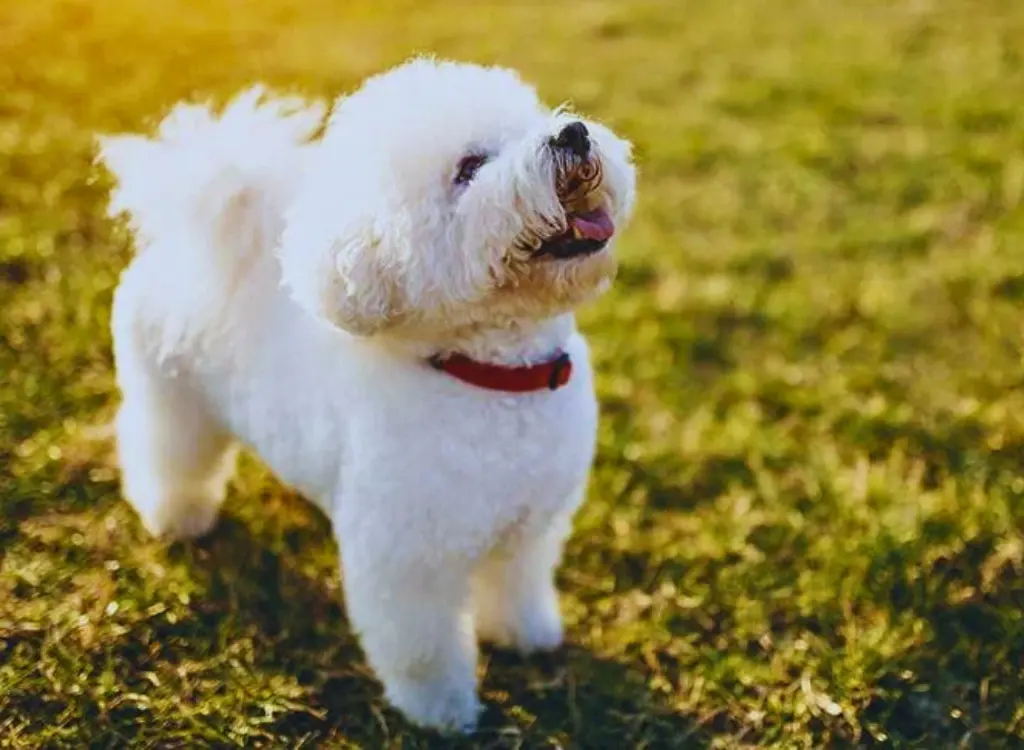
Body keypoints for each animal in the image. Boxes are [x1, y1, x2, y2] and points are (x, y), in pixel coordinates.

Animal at [99, 57, 634, 733]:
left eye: (533, 122)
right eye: (470, 167)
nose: (573, 134)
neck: (491, 374)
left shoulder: (529, 524)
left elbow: (516, 585)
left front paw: (526, 635)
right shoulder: (408, 558)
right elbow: (423, 647)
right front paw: (442, 712)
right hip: (173, 399)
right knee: (166, 454)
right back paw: (177, 518)